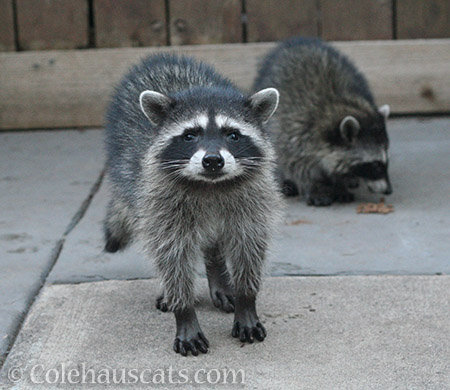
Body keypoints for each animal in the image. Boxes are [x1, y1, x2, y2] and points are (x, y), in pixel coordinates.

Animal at [104, 54, 282, 356]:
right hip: (130, 178)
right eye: (190, 135)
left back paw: (218, 272)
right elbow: (171, 255)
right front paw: (184, 311)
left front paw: (247, 300)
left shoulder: (253, 202)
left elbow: (249, 248)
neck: (210, 185)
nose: (212, 160)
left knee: (214, 244)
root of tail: (159, 59)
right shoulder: (161, 203)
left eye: (233, 134)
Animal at [255, 37, 392, 207]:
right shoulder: (293, 131)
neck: (336, 106)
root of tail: (297, 41)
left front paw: (340, 184)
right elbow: (298, 166)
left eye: (385, 160)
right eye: (375, 165)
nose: (389, 190)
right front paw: (314, 187)